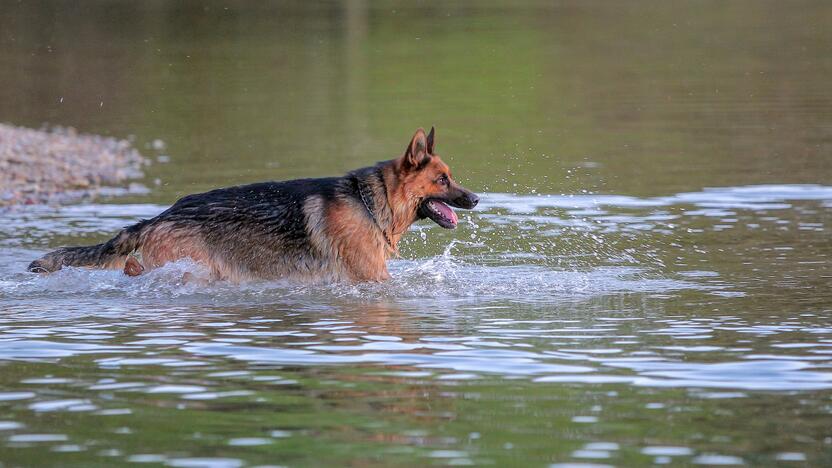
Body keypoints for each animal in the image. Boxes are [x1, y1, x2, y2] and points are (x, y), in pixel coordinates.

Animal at [26, 126, 478, 284]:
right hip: (187, 265)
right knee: (134, 268)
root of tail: (162, 215)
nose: (475, 198)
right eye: (442, 180)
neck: (370, 200)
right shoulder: (371, 278)